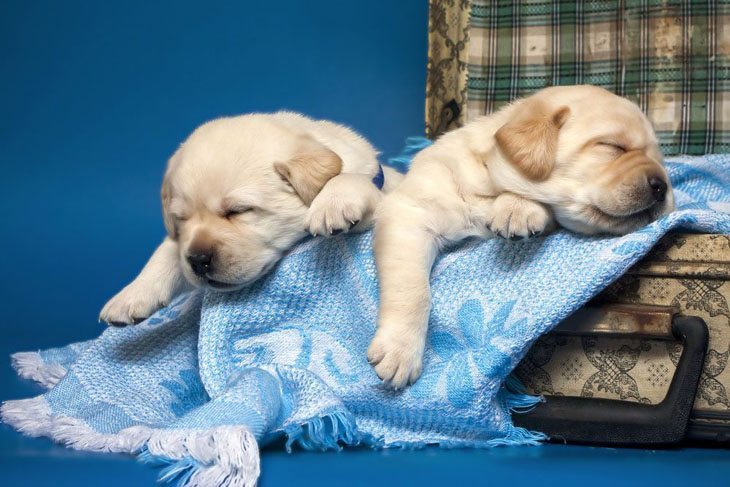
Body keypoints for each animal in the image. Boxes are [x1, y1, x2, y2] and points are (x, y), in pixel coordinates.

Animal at [98, 112, 398, 326]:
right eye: (180, 218)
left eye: (238, 210)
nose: (197, 259)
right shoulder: (181, 241)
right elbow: (168, 250)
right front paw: (131, 295)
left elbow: (348, 179)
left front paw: (333, 202)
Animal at [370, 84, 676, 388]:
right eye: (612, 146)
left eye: (659, 159)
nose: (662, 186)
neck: (487, 185)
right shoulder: (410, 214)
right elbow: (413, 292)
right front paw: (400, 352)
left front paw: (517, 209)